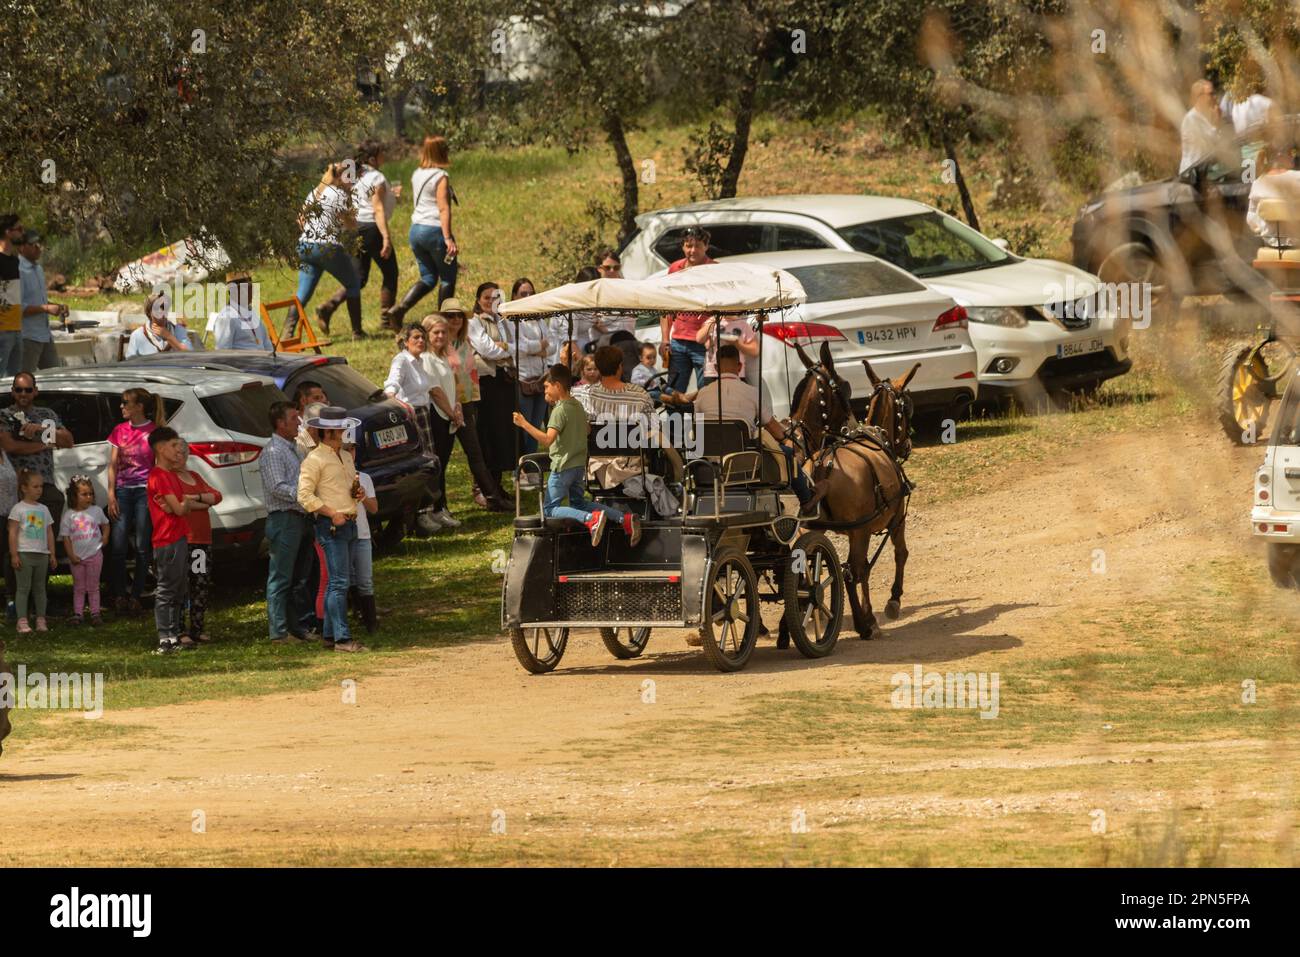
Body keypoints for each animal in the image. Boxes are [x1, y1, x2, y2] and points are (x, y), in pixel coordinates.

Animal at [780, 340, 915, 639]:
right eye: (907, 409)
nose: (908, 445)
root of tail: (824, 464)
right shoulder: (896, 518)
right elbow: (898, 554)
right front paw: (891, 602)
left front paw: (869, 613)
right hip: (858, 531)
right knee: (852, 572)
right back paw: (862, 626)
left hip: (811, 529)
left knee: (803, 570)